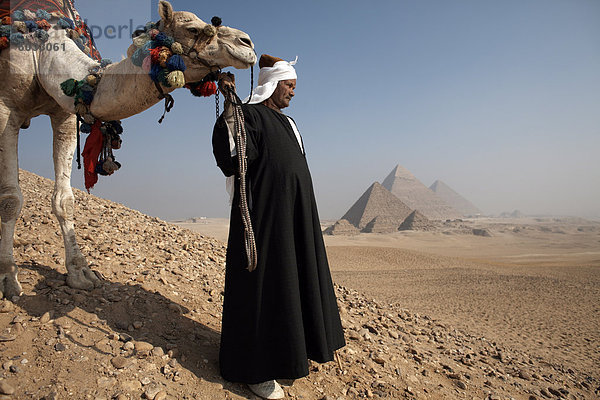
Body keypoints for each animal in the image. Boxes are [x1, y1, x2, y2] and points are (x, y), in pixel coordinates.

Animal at [0, 0, 255, 300]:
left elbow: (65, 200)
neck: (42, 51)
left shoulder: (63, 113)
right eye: (192, 29)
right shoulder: (6, 108)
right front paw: (8, 277)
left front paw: (80, 273)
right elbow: (10, 200)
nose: (247, 43)